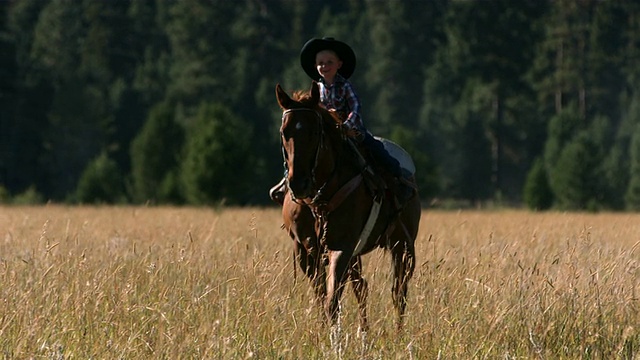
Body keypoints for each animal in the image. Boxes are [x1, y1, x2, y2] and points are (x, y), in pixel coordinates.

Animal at [278, 81, 422, 332]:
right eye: (284, 132)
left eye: (314, 132)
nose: (298, 184)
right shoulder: (305, 249)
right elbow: (322, 297)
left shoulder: (342, 247)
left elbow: (332, 301)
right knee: (362, 288)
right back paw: (364, 331)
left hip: (402, 245)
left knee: (399, 293)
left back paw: (397, 334)